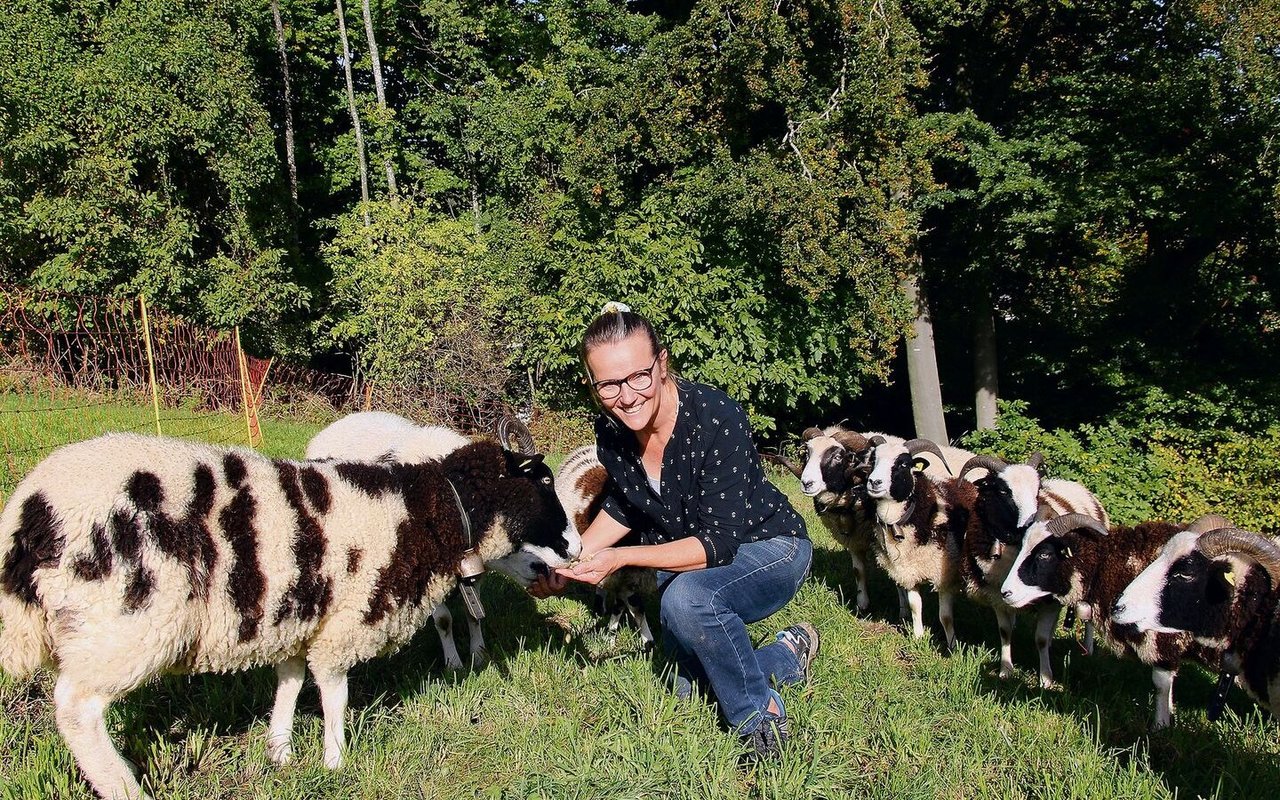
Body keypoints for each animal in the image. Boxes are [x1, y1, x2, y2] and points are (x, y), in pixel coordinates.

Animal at [0, 430, 576, 798]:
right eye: (543, 485)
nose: (570, 549)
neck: (428, 511)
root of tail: (30, 514)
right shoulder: (345, 622)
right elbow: (333, 692)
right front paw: (335, 760)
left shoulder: (299, 615)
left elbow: (291, 680)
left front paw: (279, 750)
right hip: (123, 624)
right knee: (77, 711)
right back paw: (123, 788)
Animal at [998, 512, 1228, 721]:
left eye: (1044, 554)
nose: (1006, 592)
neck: (1110, 564)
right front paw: (1170, 715)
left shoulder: (1161, 639)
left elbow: (1161, 684)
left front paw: (1161, 726)